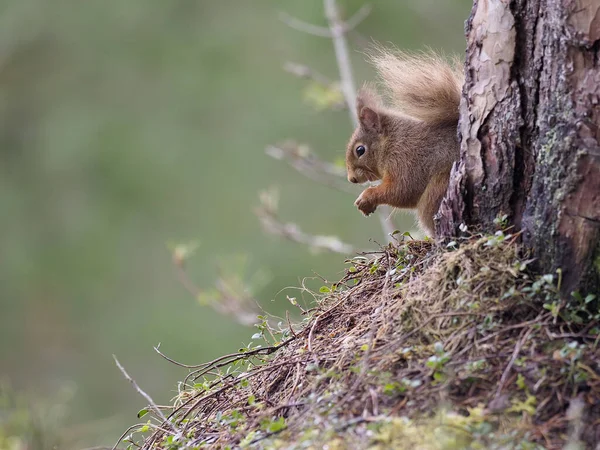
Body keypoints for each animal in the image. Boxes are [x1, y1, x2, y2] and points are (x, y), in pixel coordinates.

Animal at [342, 48, 464, 237]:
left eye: (360, 150)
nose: (352, 179)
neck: (392, 142)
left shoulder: (405, 160)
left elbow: (401, 190)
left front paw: (366, 197)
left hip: (438, 189)